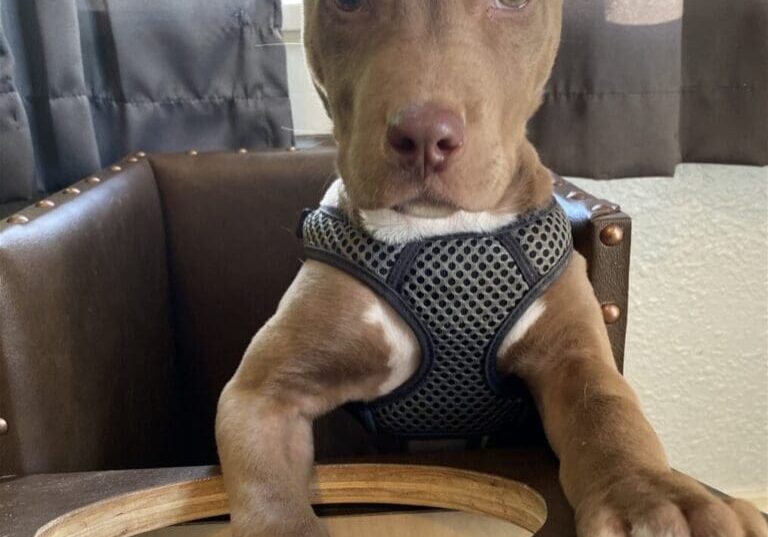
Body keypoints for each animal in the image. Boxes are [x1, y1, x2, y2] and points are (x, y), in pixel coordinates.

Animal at [218, 2, 768, 532]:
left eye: (513, 1)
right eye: (348, 2)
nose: (424, 135)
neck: (442, 236)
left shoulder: (573, 357)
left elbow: (610, 413)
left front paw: (656, 497)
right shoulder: (262, 394)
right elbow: (272, 500)